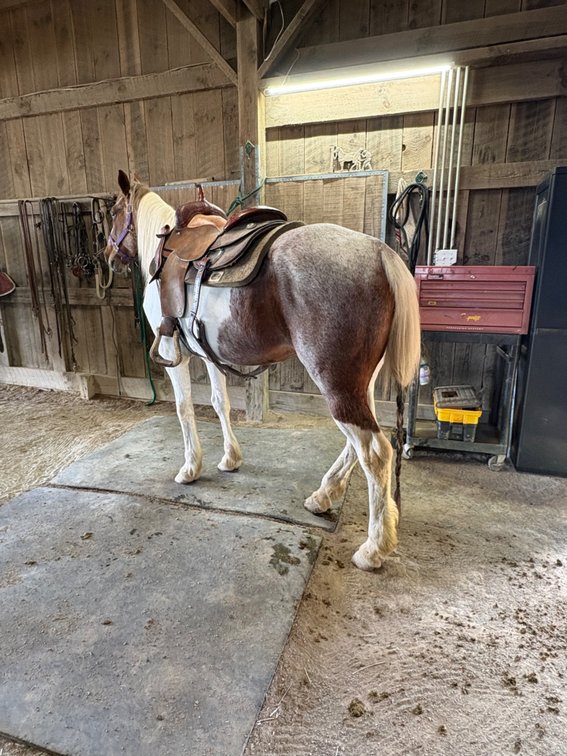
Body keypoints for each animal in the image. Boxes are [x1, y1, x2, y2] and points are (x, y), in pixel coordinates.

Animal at [104, 170, 421, 571]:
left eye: (114, 212)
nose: (108, 256)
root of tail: (380, 252)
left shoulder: (175, 355)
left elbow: (184, 408)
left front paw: (191, 468)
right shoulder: (208, 355)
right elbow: (219, 403)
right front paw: (230, 459)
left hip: (336, 381)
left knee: (375, 452)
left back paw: (373, 547)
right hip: (356, 383)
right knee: (359, 443)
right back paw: (324, 496)